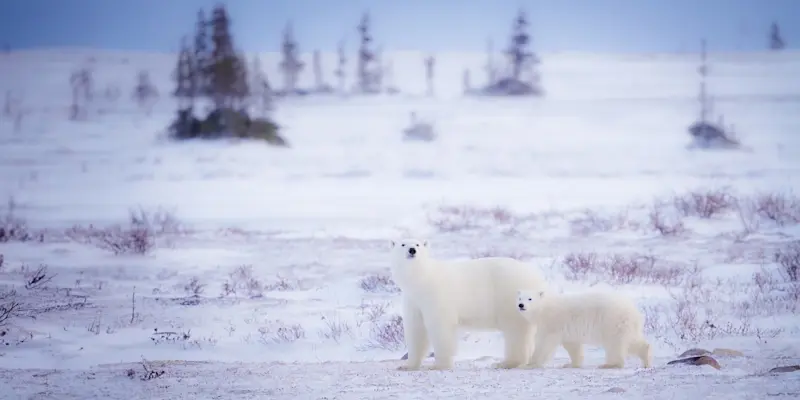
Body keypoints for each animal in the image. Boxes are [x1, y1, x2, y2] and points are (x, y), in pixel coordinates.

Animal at [389, 238, 549, 371]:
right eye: (403, 244)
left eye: (417, 244)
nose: (412, 250)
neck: (422, 280)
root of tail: (537, 277)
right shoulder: (413, 299)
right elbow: (416, 329)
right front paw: (407, 365)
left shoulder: (436, 296)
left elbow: (440, 328)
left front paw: (438, 365)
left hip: (510, 297)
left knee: (515, 330)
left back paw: (506, 363)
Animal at [516, 289, 652, 369]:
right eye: (519, 298)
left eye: (530, 298)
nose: (521, 305)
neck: (543, 308)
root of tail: (633, 310)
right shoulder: (567, 330)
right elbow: (572, 345)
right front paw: (571, 364)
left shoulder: (552, 322)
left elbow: (544, 343)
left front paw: (529, 364)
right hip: (625, 324)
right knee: (632, 341)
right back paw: (646, 359)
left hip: (612, 321)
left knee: (615, 343)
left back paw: (610, 364)